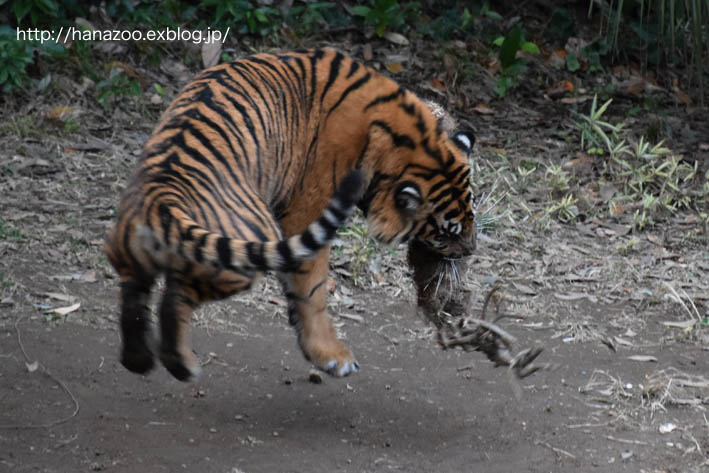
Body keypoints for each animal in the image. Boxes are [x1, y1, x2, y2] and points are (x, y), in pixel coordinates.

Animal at [105, 48, 476, 380]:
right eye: (447, 233)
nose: (471, 251)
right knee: (176, 296)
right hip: (241, 254)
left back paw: (139, 360)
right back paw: (179, 363)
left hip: (129, 251)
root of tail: (162, 196)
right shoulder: (306, 213)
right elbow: (312, 291)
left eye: (471, 217)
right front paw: (331, 356)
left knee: (135, 296)